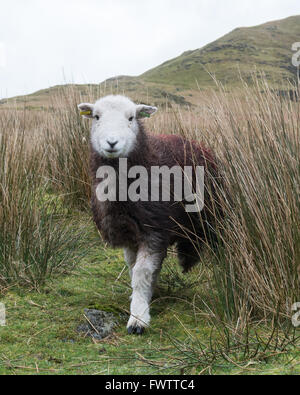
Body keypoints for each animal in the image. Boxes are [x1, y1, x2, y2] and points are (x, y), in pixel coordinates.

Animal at [78, 94, 221, 336]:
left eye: (131, 118)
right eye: (96, 116)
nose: (112, 143)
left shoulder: (154, 230)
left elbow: (141, 272)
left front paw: (138, 317)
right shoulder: (128, 232)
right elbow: (133, 267)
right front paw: (143, 298)